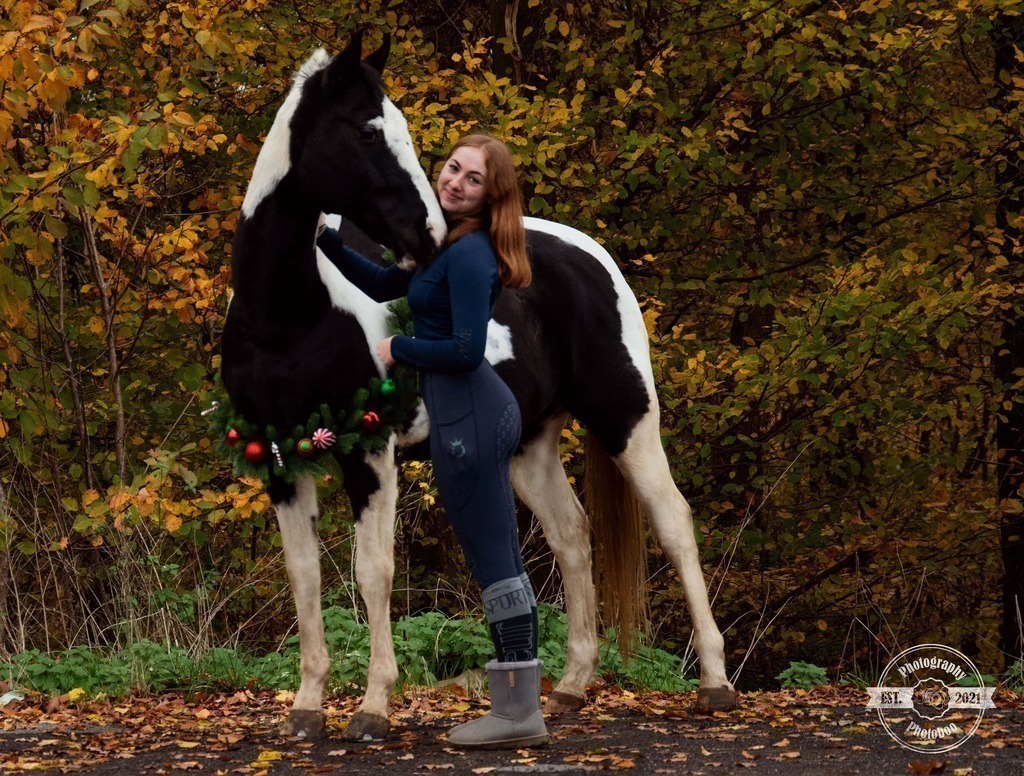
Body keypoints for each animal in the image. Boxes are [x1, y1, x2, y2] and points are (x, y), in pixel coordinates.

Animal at [221, 33, 737, 741]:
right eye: (368, 128)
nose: (430, 235)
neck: (290, 317)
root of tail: (591, 255)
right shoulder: (280, 457)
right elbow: (305, 577)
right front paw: (306, 708)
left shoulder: (369, 452)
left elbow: (372, 572)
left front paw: (373, 707)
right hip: (529, 447)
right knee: (572, 535)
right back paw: (570, 687)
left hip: (627, 418)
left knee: (675, 523)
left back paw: (714, 683)